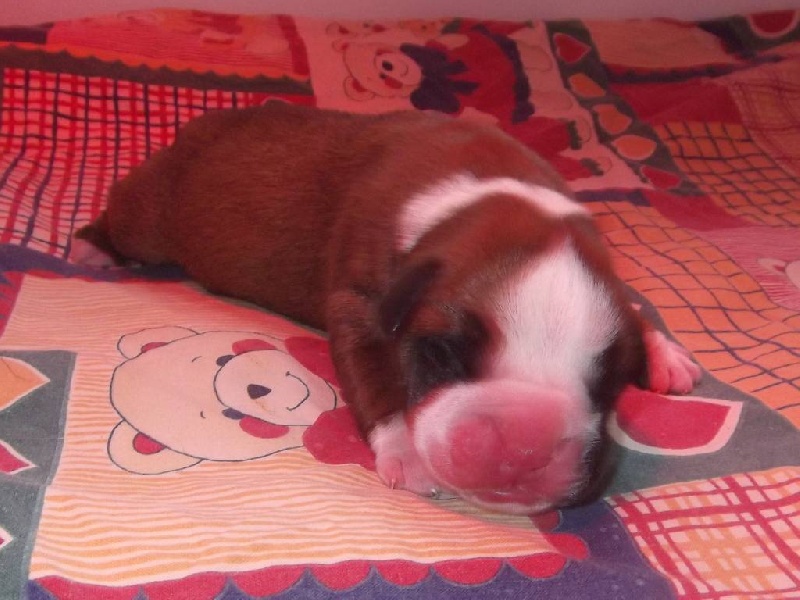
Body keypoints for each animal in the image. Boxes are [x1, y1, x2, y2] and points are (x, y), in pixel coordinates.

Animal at [74, 102, 702, 514]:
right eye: (441, 354)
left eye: (610, 383)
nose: (523, 448)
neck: (491, 193)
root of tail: (203, 122)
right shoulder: (360, 308)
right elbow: (378, 380)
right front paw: (405, 450)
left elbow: (634, 305)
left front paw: (662, 351)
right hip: (153, 217)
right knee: (127, 213)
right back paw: (92, 245)